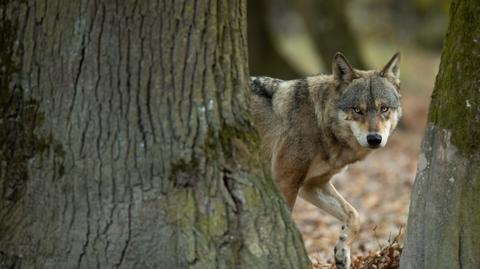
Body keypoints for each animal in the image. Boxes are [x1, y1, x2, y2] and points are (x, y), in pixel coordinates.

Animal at [248, 52, 402, 268]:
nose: (374, 139)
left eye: (384, 108)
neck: (320, 123)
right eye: (357, 110)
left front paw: (342, 253)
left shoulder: (312, 185)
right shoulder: (285, 180)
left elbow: (355, 216)